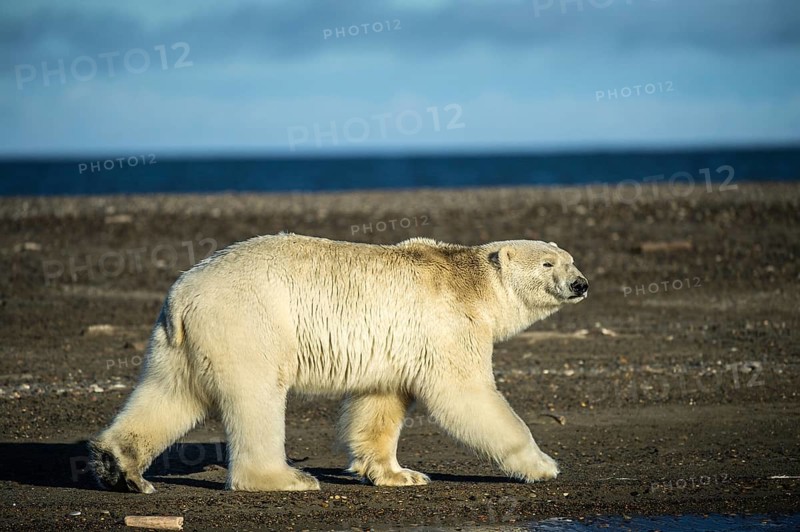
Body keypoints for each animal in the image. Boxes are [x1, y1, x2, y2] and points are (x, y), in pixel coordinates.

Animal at [89, 233, 588, 493]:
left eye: (570, 258)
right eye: (548, 264)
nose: (580, 283)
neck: (471, 284)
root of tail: (182, 293)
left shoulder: (398, 346)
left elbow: (379, 404)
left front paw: (399, 473)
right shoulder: (448, 325)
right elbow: (466, 395)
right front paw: (544, 464)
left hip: (181, 341)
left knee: (169, 393)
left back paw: (120, 465)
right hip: (249, 321)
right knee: (256, 397)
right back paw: (287, 477)